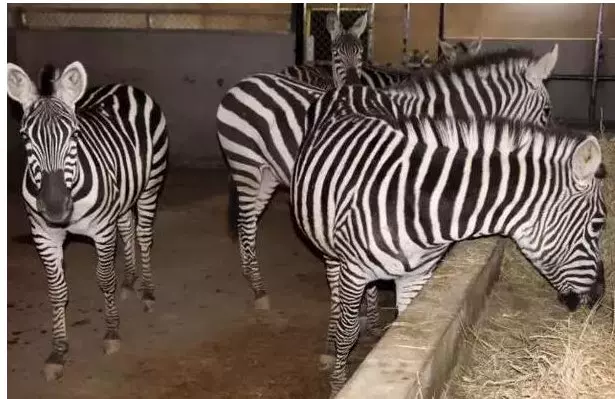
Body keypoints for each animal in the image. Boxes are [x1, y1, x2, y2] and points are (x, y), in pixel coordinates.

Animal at [6, 61, 170, 382]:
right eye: (25, 137)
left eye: (74, 135)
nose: (55, 208)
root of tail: (124, 86)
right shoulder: (43, 235)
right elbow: (57, 290)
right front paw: (58, 350)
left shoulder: (102, 230)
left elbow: (104, 279)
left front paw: (111, 332)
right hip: (123, 194)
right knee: (127, 226)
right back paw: (129, 281)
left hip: (151, 183)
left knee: (143, 234)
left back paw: (147, 291)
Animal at [219, 45, 560, 346]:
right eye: (546, 110)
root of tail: (244, 82)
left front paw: (369, 321)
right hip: (246, 165)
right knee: (246, 225)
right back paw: (259, 291)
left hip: (268, 174)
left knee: (249, 222)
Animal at [292, 93, 608, 394]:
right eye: (598, 224)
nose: (598, 297)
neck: (421, 205)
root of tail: (345, 93)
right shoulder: (355, 272)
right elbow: (348, 333)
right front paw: (337, 383)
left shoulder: (417, 276)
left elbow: (405, 322)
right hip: (330, 248)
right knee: (335, 292)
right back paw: (331, 344)